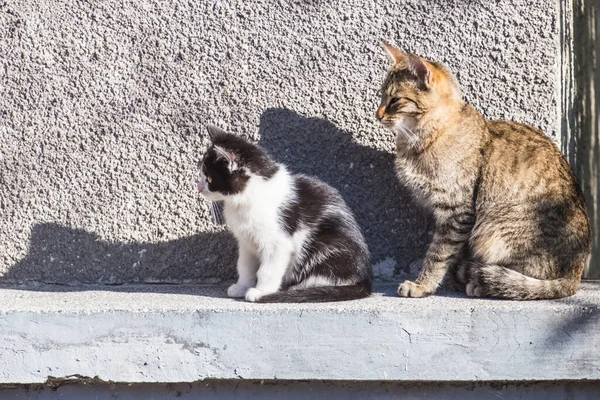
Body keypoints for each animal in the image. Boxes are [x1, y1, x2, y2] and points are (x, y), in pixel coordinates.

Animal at [199, 125, 372, 304]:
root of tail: (364, 278)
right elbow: (245, 265)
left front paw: (261, 291)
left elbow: (268, 268)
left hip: (329, 244)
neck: (245, 199)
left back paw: (304, 288)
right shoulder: (246, 241)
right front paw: (241, 286)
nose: (199, 189)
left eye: (209, 179)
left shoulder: (278, 241)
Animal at [376, 43, 592, 300]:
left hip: (496, 229)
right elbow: (453, 252)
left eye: (395, 100)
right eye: (381, 96)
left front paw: (423, 284)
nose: (378, 114)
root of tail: (576, 274)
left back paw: (483, 283)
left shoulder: (456, 211)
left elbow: (438, 254)